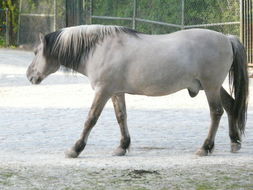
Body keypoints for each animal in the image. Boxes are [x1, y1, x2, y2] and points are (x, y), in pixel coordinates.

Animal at [26, 24, 249, 158]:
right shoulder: (116, 92)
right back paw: (234, 141)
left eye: (36, 52)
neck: (100, 49)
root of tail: (226, 38)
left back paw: (206, 147)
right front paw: (122, 146)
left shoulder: (103, 91)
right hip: (214, 87)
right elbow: (121, 117)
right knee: (230, 107)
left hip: (210, 87)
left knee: (216, 113)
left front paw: (75, 148)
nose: (29, 76)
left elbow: (91, 119)